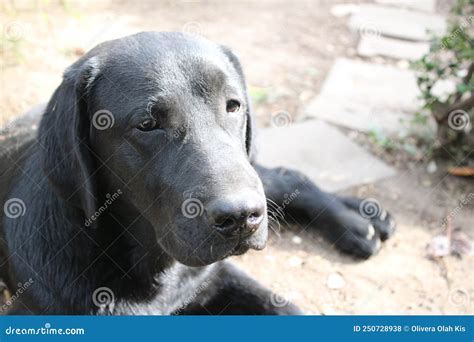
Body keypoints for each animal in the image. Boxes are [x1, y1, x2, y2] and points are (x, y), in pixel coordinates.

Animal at [0, 32, 394, 316]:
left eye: (233, 106)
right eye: (147, 124)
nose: (241, 217)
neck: (155, 273)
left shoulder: (217, 277)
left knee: (285, 178)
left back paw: (359, 220)